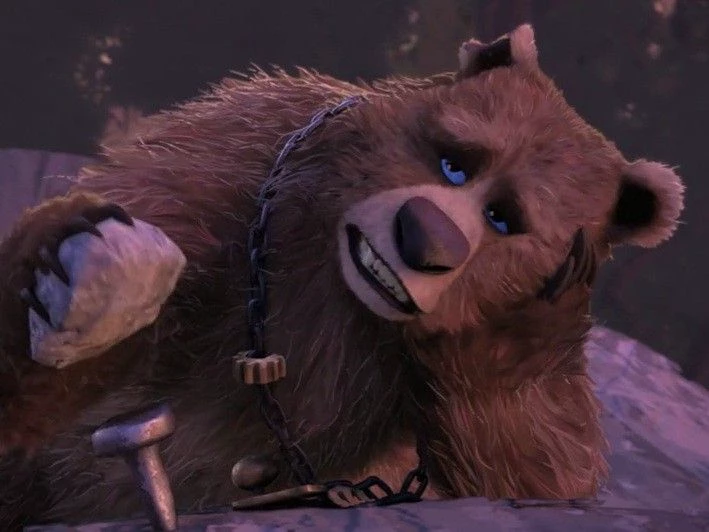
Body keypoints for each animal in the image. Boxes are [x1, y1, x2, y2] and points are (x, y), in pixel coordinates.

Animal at [0, 24, 684, 528]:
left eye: (504, 218)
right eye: (454, 163)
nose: (425, 235)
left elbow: (541, 467)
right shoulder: (222, 174)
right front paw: (87, 287)